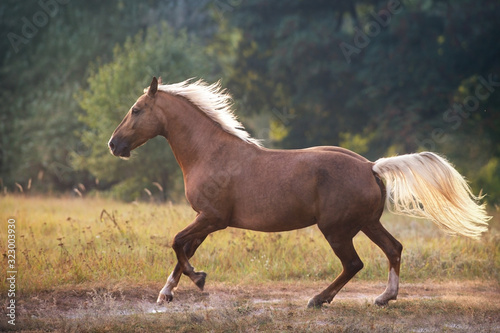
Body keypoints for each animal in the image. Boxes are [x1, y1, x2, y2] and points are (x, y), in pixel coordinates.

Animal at [108, 76, 488, 308]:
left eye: (136, 110)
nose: (114, 145)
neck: (209, 153)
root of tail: (370, 166)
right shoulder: (206, 220)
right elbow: (183, 249)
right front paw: (166, 293)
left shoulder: (213, 218)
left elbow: (176, 243)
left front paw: (198, 280)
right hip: (366, 223)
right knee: (393, 249)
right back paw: (383, 297)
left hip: (336, 229)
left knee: (354, 263)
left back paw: (319, 299)